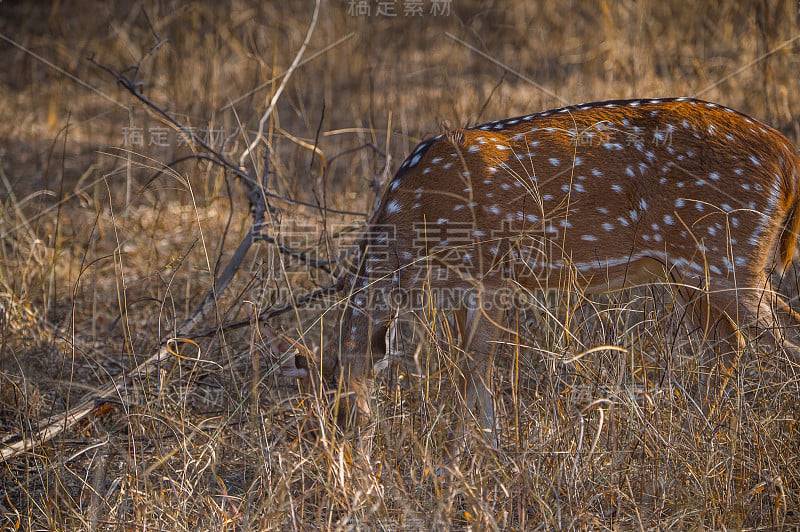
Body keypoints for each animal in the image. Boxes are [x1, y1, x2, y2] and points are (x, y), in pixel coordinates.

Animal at [282, 97, 800, 434]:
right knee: (728, 346)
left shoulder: (491, 272)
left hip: (732, 255)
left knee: (780, 336)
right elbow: (468, 365)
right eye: (318, 424)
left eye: (352, 418)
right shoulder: (460, 286)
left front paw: (475, 451)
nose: (349, 479)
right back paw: (707, 424)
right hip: (693, 271)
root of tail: (787, 155)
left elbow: (476, 366)